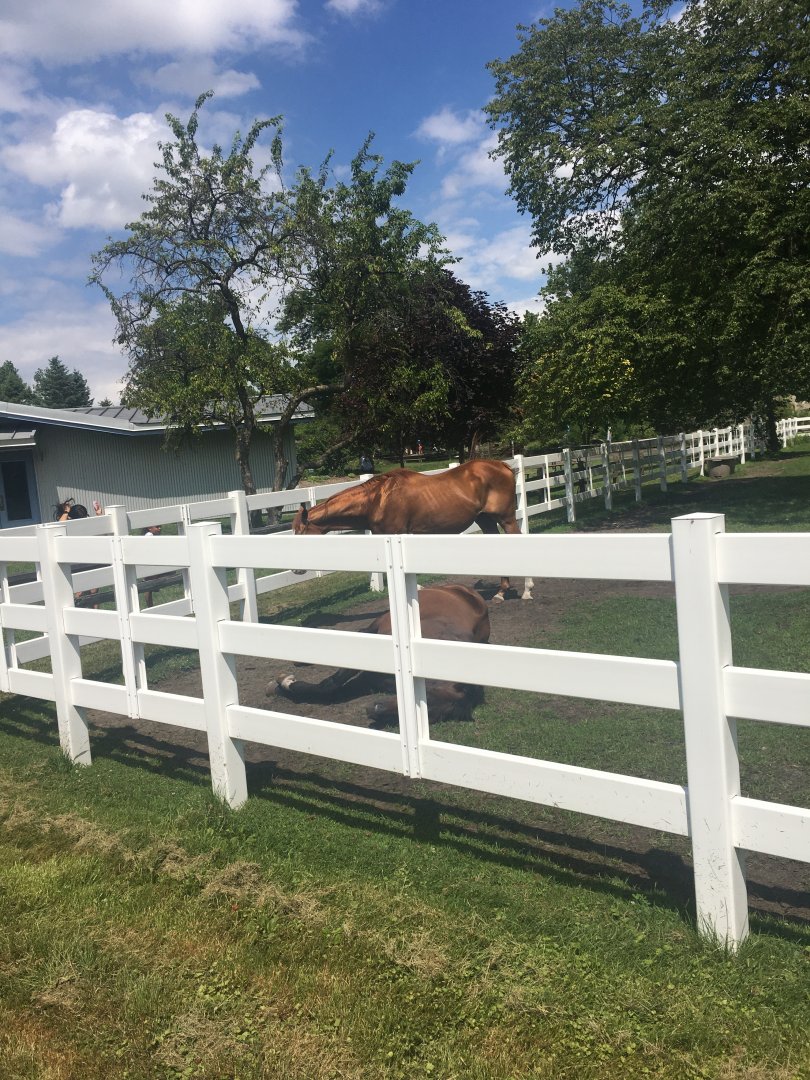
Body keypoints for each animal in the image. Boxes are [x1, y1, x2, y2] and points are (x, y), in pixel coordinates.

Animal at [271, 583, 490, 725]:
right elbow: (330, 685)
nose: (375, 712)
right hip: (379, 623)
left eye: (436, 716)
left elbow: (332, 691)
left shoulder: (369, 679)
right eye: (427, 698)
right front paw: (286, 682)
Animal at [292, 459, 533, 601]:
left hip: (506, 518)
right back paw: (501, 592)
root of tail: (503, 466)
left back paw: (527, 589)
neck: (377, 499)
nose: (296, 570)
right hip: (485, 521)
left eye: (301, 533)